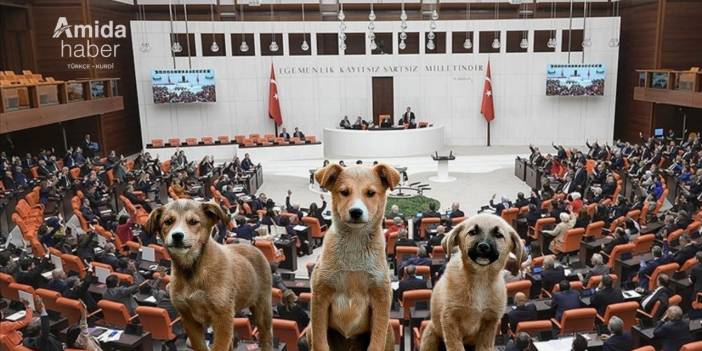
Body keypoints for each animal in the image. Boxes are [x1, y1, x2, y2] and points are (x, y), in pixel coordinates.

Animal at [144, 201, 274, 351]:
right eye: (168, 221)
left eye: (193, 221)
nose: (177, 236)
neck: (193, 270)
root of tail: (254, 248)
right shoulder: (188, 318)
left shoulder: (222, 317)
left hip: (263, 309)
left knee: (266, 339)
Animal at [310, 165, 402, 351]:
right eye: (344, 192)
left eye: (371, 193)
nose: (356, 212)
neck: (354, 243)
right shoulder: (320, 295)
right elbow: (320, 342)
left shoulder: (381, 297)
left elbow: (376, 342)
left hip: (389, 330)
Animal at [424, 214, 524, 351]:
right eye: (473, 232)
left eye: (499, 235)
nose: (483, 246)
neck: (480, 279)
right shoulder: (450, 318)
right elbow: (455, 346)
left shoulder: (490, 322)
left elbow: (484, 346)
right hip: (430, 335)